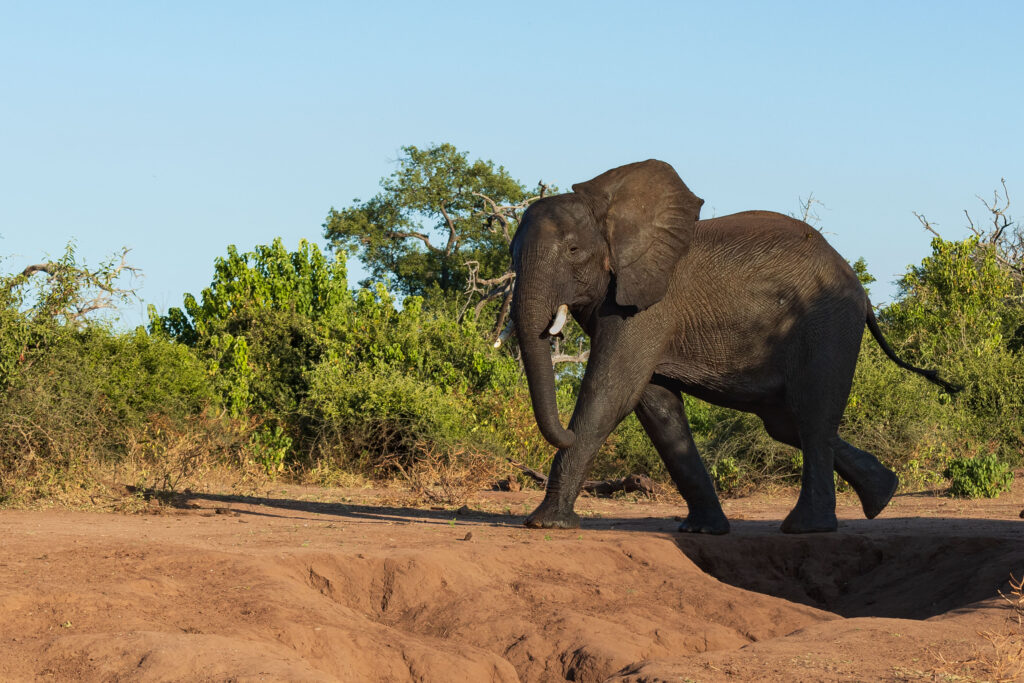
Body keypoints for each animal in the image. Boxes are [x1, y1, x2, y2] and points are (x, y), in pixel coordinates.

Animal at [509, 159, 959, 534]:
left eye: (572, 251)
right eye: (512, 253)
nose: (563, 433)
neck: (611, 212)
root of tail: (862, 292)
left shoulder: (648, 308)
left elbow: (610, 394)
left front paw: (545, 524)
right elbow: (656, 407)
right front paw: (704, 531)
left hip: (828, 324)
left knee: (811, 416)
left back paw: (807, 527)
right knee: (786, 423)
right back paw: (883, 494)